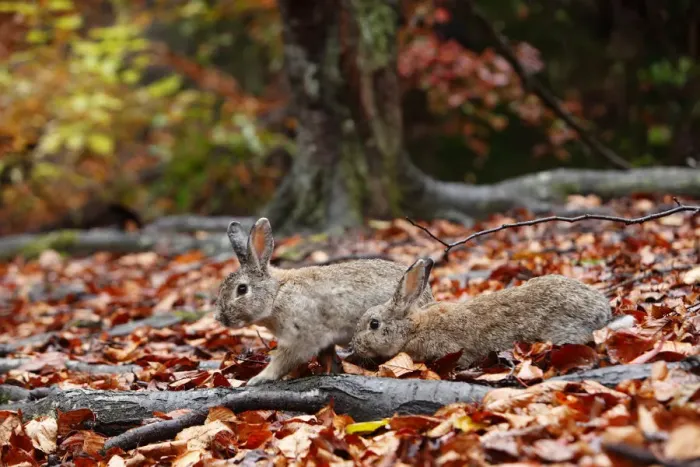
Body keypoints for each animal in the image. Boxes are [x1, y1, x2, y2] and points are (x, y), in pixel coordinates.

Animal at [215, 218, 435, 385]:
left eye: (242, 289)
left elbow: (284, 360)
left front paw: (259, 379)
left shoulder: (301, 337)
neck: (277, 293)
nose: (219, 318)